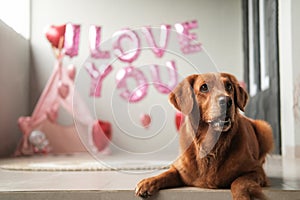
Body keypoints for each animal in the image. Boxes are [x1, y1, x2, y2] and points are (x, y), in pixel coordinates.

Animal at [136, 73, 274, 200]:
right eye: (204, 87)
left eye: (229, 86)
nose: (227, 101)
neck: (211, 145)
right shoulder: (180, 170)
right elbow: (166, 174)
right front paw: (147, 182)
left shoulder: (256, 170)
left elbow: (239, 182)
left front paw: (241, 196)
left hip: (265, 128)